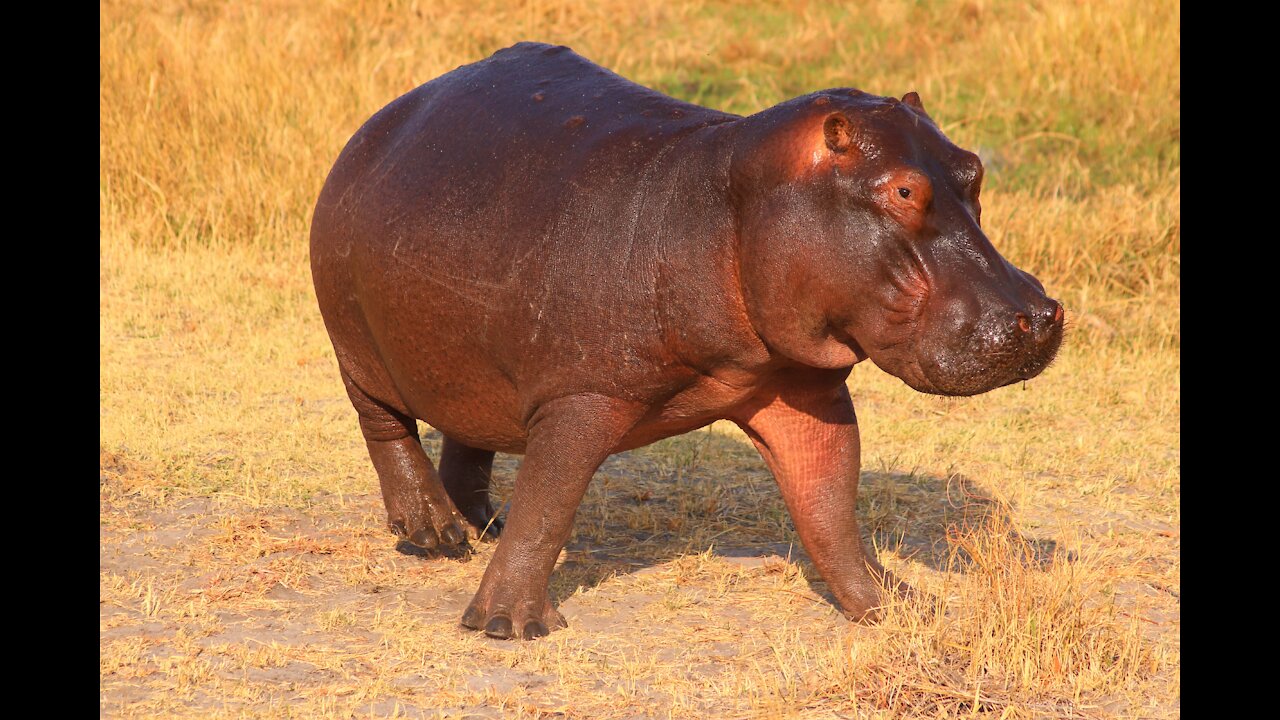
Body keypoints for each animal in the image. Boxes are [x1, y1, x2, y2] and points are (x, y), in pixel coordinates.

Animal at [309, 41, 1059, 635]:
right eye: (903, 191)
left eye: (973, 170)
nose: (1041, 314)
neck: (730, 200)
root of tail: (384, 118)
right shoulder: (582, 396)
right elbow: (550, 501)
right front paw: (509, 626)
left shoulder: (801, 390)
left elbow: (829, 505)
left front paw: (902, 608)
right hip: (358, 350)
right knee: (386, 427)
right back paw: (434, 536)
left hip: (475, 361)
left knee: (472, 430)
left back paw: (480, 525)